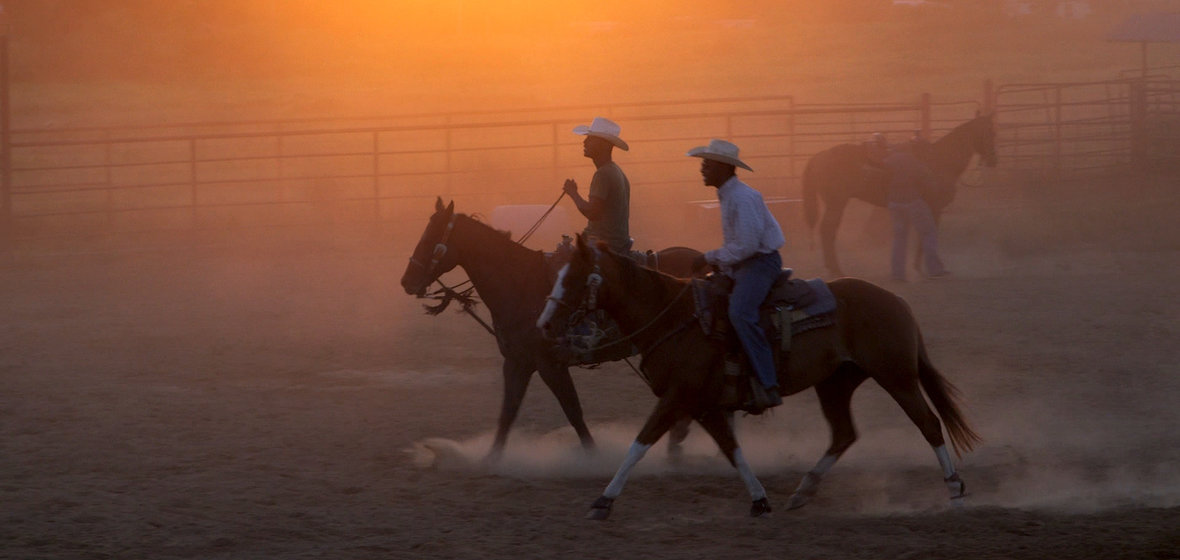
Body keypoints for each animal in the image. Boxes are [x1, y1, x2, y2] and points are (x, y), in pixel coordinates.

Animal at [401, 199, 703, 462]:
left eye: (429, 238)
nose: (407, 281)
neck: (519, 282)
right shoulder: (517, 362)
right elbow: (508, 411)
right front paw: (491, 459)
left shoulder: (550, 364)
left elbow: (573, 411)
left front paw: (594, 457)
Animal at [535, 234, 977, 518]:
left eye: (573, 278)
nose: (544, 324)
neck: (675, 319)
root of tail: (897, 301)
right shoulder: (703, 405)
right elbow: (732, 450)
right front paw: (760, 500)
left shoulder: (678, 397)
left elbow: (639, 445)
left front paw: (603, 501)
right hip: (835, 382)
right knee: (843, 434)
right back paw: (803, 491)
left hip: (897, 376)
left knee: (928, 424)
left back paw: (954, 492)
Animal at [802, 114, 995, 278]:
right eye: (991, 132)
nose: (993, 159)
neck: (941, 160)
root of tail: (820, 156)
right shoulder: (935, 208)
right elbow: (929, 234)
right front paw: (933, 268)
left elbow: (922, 235)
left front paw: (918, 266)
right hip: (836, 203)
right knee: (827, 231)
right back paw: (836, 270)